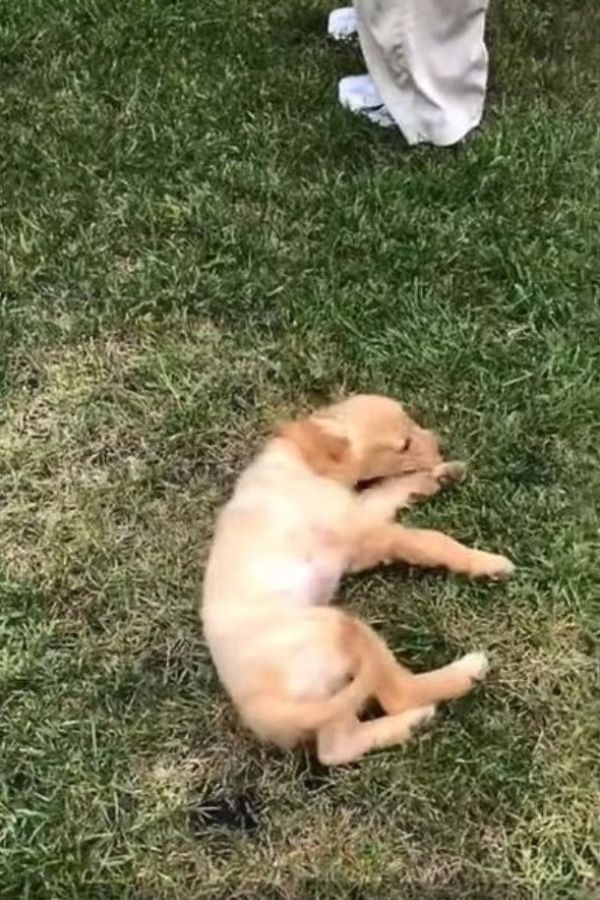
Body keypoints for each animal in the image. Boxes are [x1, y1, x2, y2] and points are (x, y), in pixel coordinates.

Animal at [202, 398, 510, 764]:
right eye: (404, 444)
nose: (440, 445)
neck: (302, 457)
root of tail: (263, 709)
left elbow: (389, 488)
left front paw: (441, 474)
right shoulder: (363, 533)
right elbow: (430, 539)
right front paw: (484, 562)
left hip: (328, 694)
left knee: (336, 749)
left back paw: (409, 724)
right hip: (340, 630)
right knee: (397, 694)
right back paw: (464, 673)